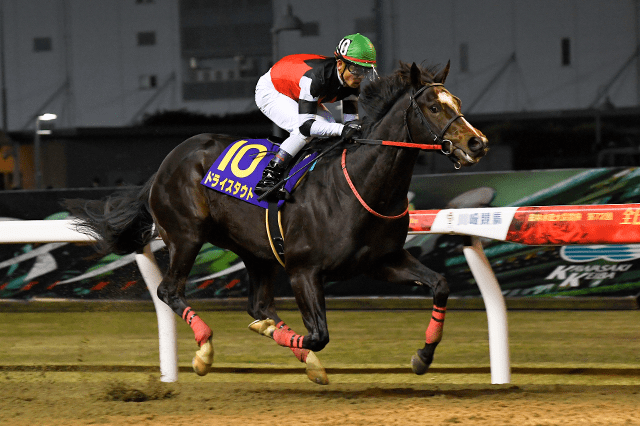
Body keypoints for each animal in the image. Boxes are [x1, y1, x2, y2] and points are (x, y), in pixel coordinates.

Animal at [65, 61, 488, 384]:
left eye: (456, 101)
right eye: (433, 107)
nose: (477, 143)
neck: (363, 184)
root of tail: (165, 165)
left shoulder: (382, 261)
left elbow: (440, 285)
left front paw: (423, 356)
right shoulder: (304, 270)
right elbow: (318, 335)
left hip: (257, 252)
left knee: (258, 304)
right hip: (186, 235)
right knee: (170, 291)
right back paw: (205, 351)